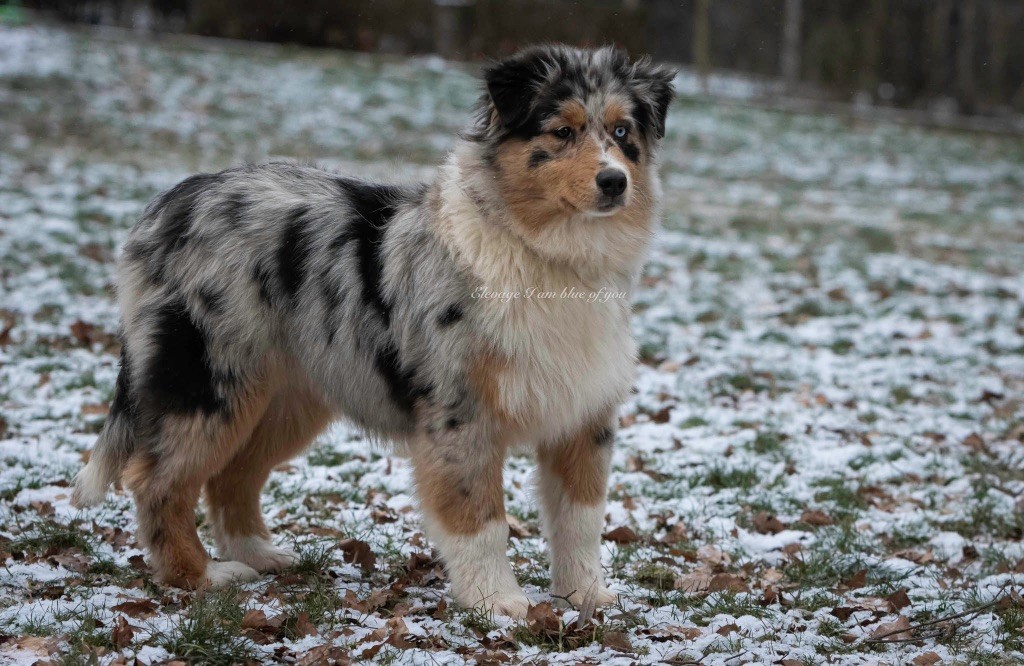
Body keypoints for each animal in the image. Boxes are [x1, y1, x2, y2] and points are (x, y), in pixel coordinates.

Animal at [74, 42, 679, 618]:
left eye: (622, 132)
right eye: (563, 131)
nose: (614, 182)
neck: (549, 254)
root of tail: (166, 205)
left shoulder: (585, 414)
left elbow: (580, 519)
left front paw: (586, 596)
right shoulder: (460, 415)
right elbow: (481, 519)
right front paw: (497, 602)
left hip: (288, 397)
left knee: (231, 476)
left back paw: (261, 555)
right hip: (210, 381)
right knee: (156, 479)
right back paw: (201, 576)